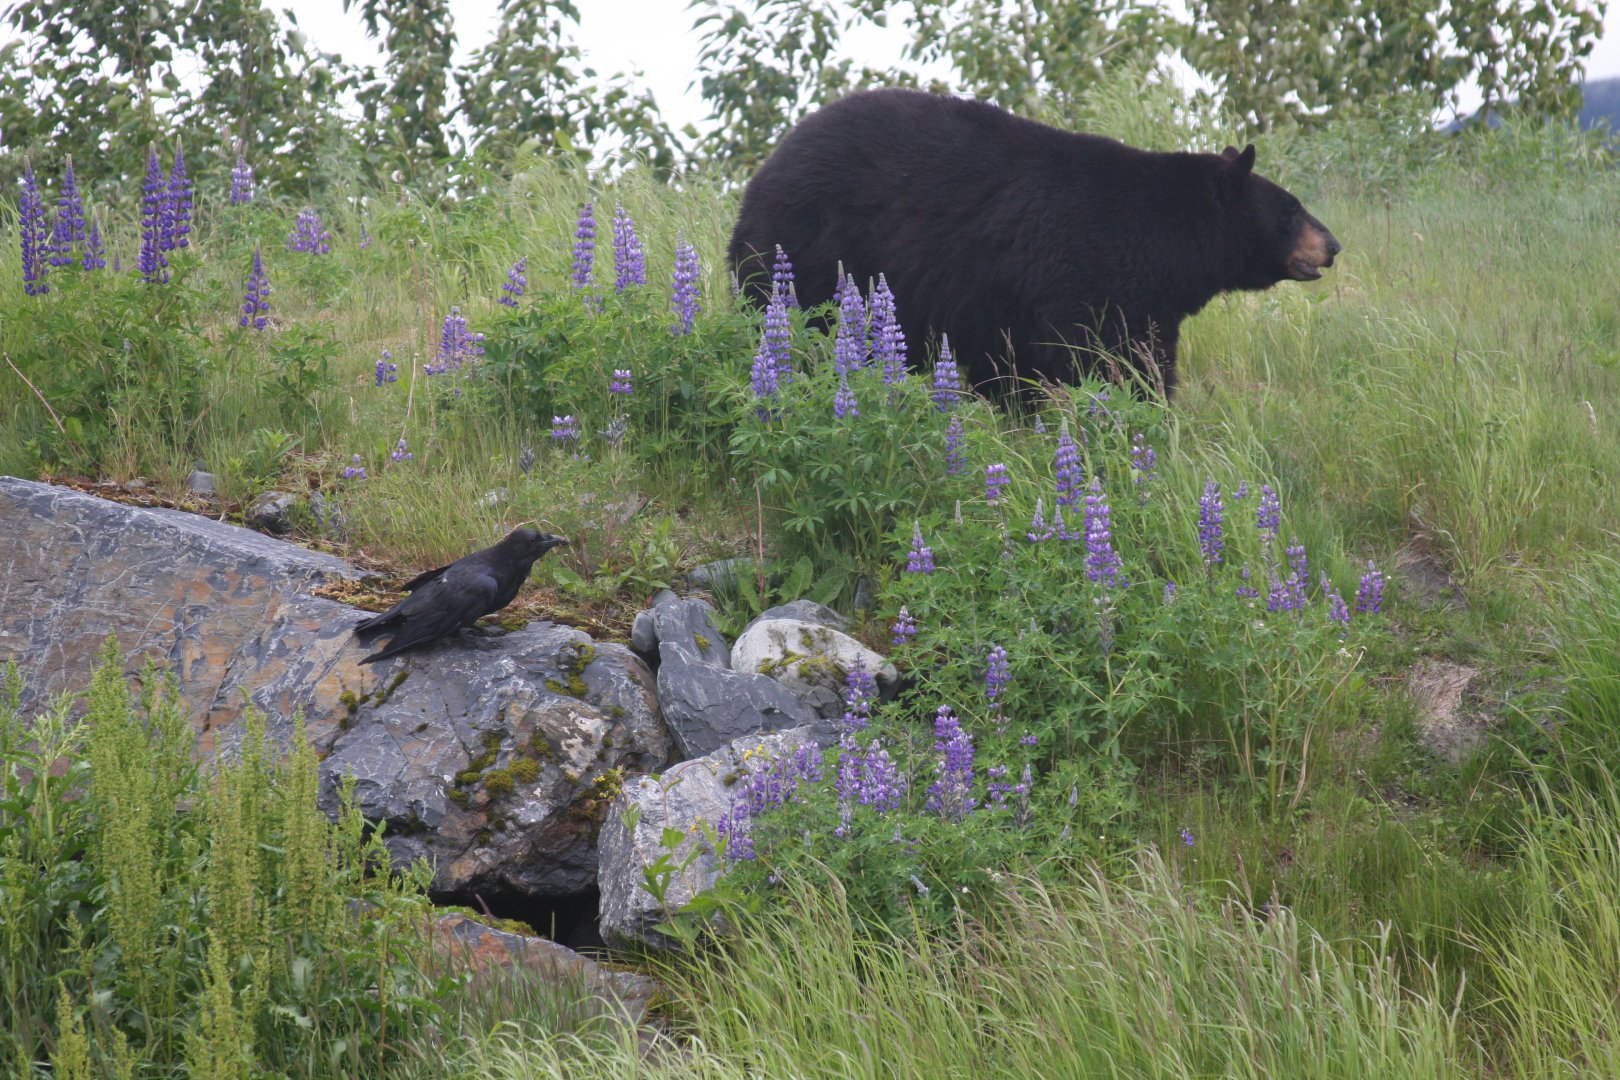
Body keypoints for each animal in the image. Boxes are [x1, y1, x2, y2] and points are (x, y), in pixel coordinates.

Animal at [729, 88, 1340, 396]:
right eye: (1291, 208)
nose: (1333, 245)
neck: (1165, 237)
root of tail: (761, 177)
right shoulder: (1084, 282)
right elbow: (1097, 359)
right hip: (810, 251)